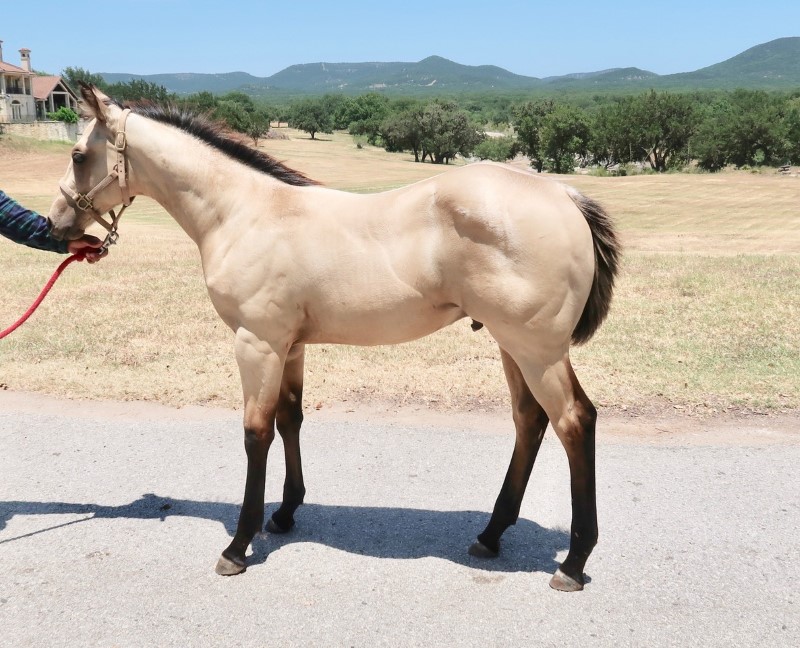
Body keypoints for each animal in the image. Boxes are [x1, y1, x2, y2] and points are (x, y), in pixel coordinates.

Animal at [47, 83, 620, 588]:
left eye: (78, 155)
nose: (57, 225)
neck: (244, 213)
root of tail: (564, 193)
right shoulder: (290, 346)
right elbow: (290, 419)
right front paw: (285, 513)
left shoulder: (257, 343)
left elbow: (256, 433)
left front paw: (239, 545)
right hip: (512, 346)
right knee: (530, 421)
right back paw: (491, 534)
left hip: (535, 349)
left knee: (574, 422)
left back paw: (572, 563)